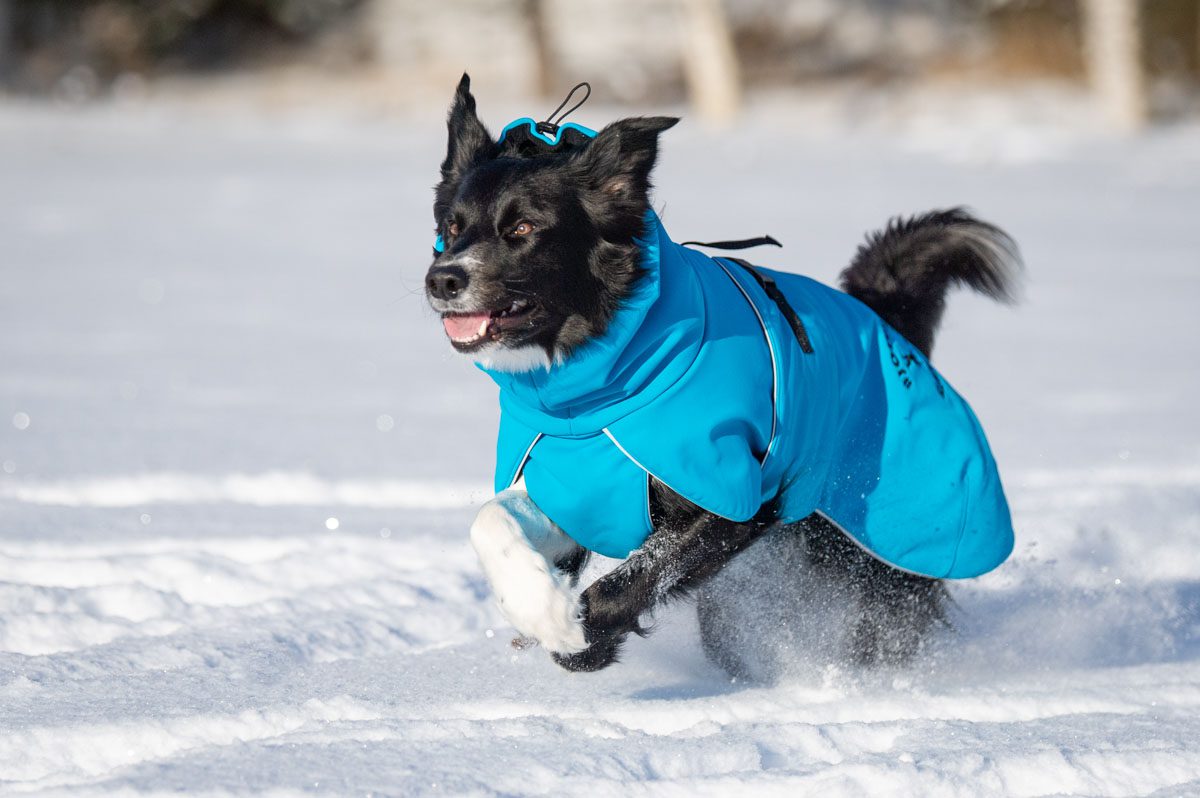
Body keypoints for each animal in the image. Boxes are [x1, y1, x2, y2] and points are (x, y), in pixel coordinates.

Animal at [425, 75, 1021, 674]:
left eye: (523, 227)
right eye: (451, 227)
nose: (442, 279)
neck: (594, 395)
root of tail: (888, 322)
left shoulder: (736, 497)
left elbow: (634, 577)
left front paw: (579, 636)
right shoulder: (577, 482)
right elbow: (491, 522)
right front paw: (540, 608)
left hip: (883, 545)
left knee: (884, 628)